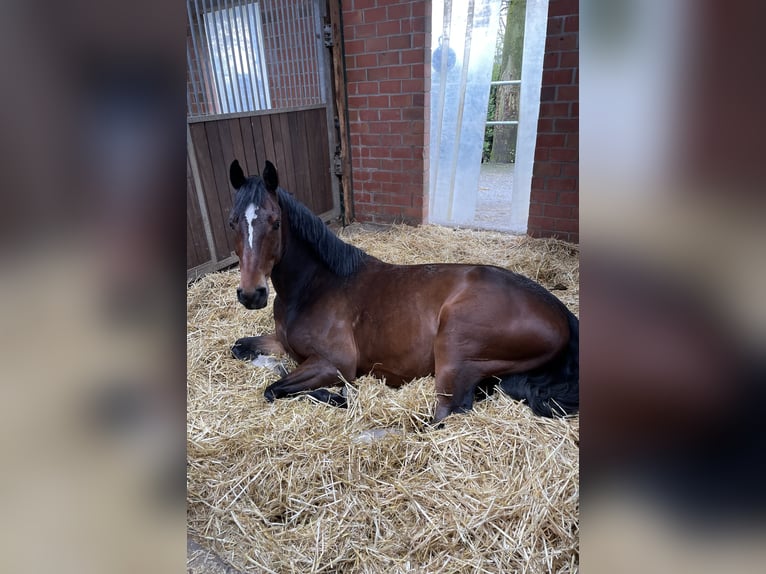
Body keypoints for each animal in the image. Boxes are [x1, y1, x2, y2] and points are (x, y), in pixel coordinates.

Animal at [228, 160, 584, 426]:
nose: (251, 294)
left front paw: (341, 396)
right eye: (232, 222)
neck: (313, 288)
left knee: (441, 418)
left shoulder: (335, 363)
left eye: (275, 222)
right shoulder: (282, 342)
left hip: (453, 347)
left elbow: (275, 388)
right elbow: (242, 349)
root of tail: (559, 312)